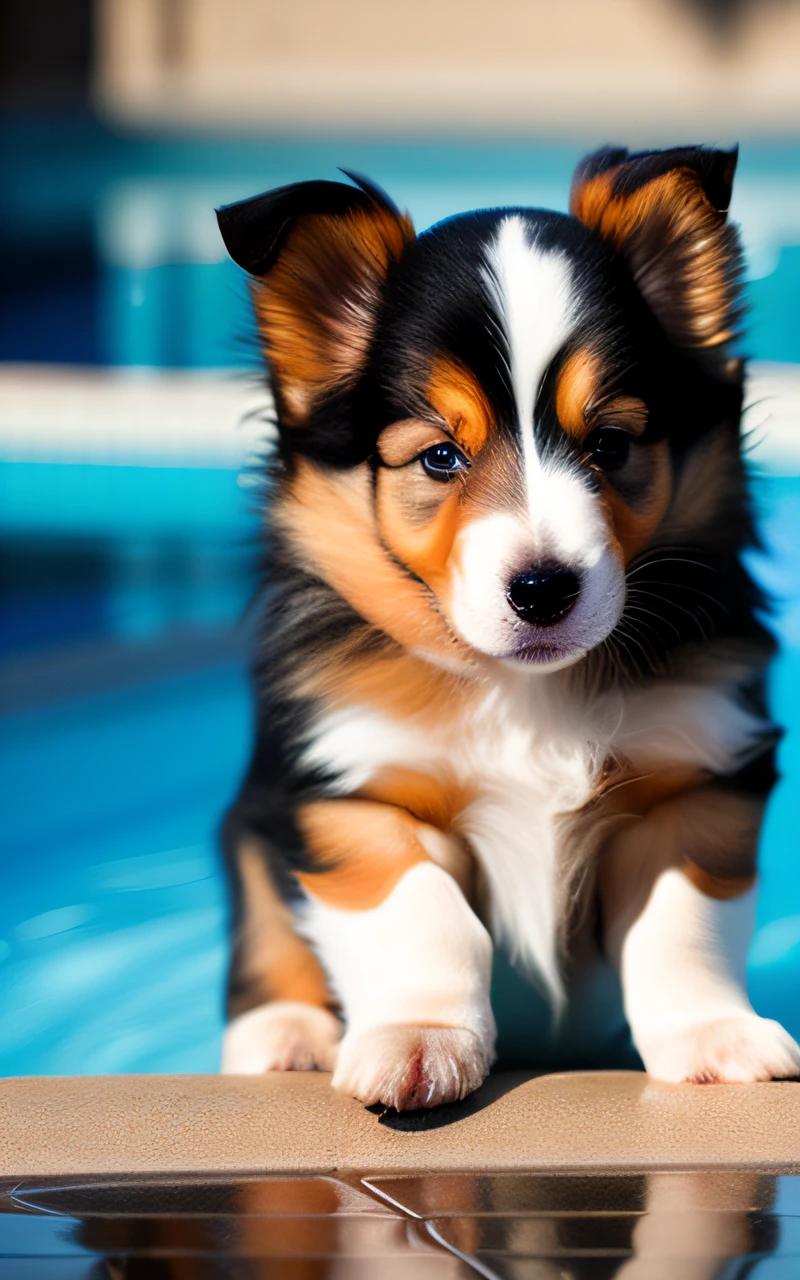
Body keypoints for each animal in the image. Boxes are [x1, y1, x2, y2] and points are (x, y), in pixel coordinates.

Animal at [215, 147, 798, 1111]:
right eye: (440, 457)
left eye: (611, 445)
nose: (543, 590)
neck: (525, 688)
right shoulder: (348, 789)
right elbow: (420, 911)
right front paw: (418, 1040)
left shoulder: (694, 781)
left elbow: (681, 924)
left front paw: (713, 1038)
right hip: (249, 817)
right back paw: (282, 1035)